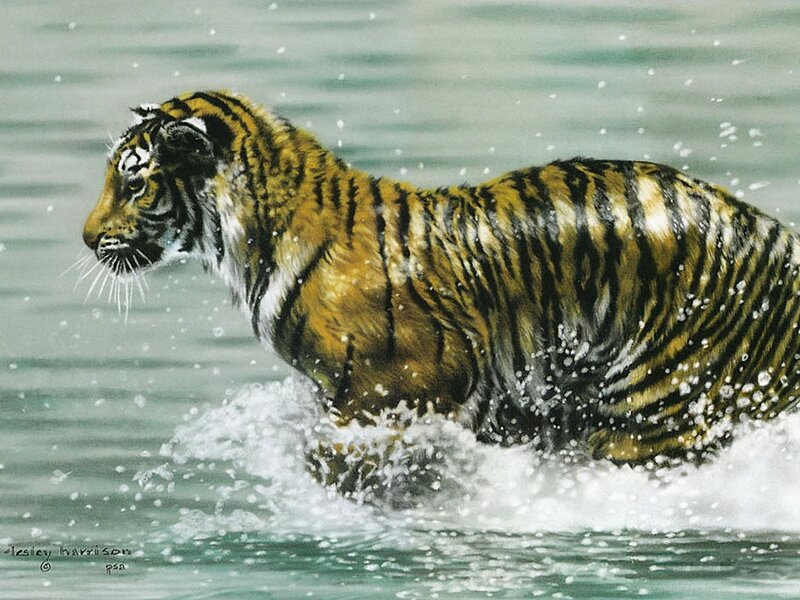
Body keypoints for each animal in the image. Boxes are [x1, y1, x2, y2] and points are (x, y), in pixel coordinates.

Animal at [83, 90, 800, 495]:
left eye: (134, 183)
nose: (87, 239)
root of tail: (773, 236)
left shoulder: (407, 387)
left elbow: (338, 458)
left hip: (660, 412)